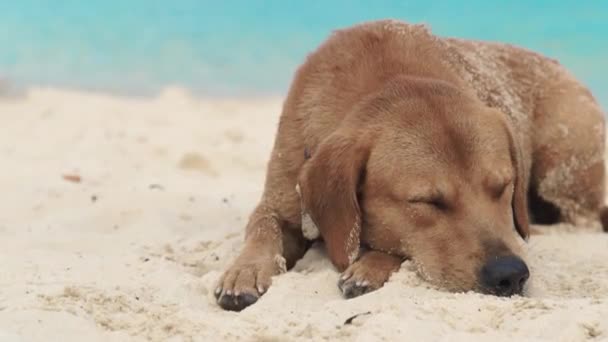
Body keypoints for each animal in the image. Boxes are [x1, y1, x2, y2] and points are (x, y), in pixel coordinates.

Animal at [214, 20, 604, 312]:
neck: (385, 82)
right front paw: (245, 270)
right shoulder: (279, 202)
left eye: (503, 188)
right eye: (427, 202)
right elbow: (263, 227)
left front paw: (371, 265)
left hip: (562, 170)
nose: (509, 274)